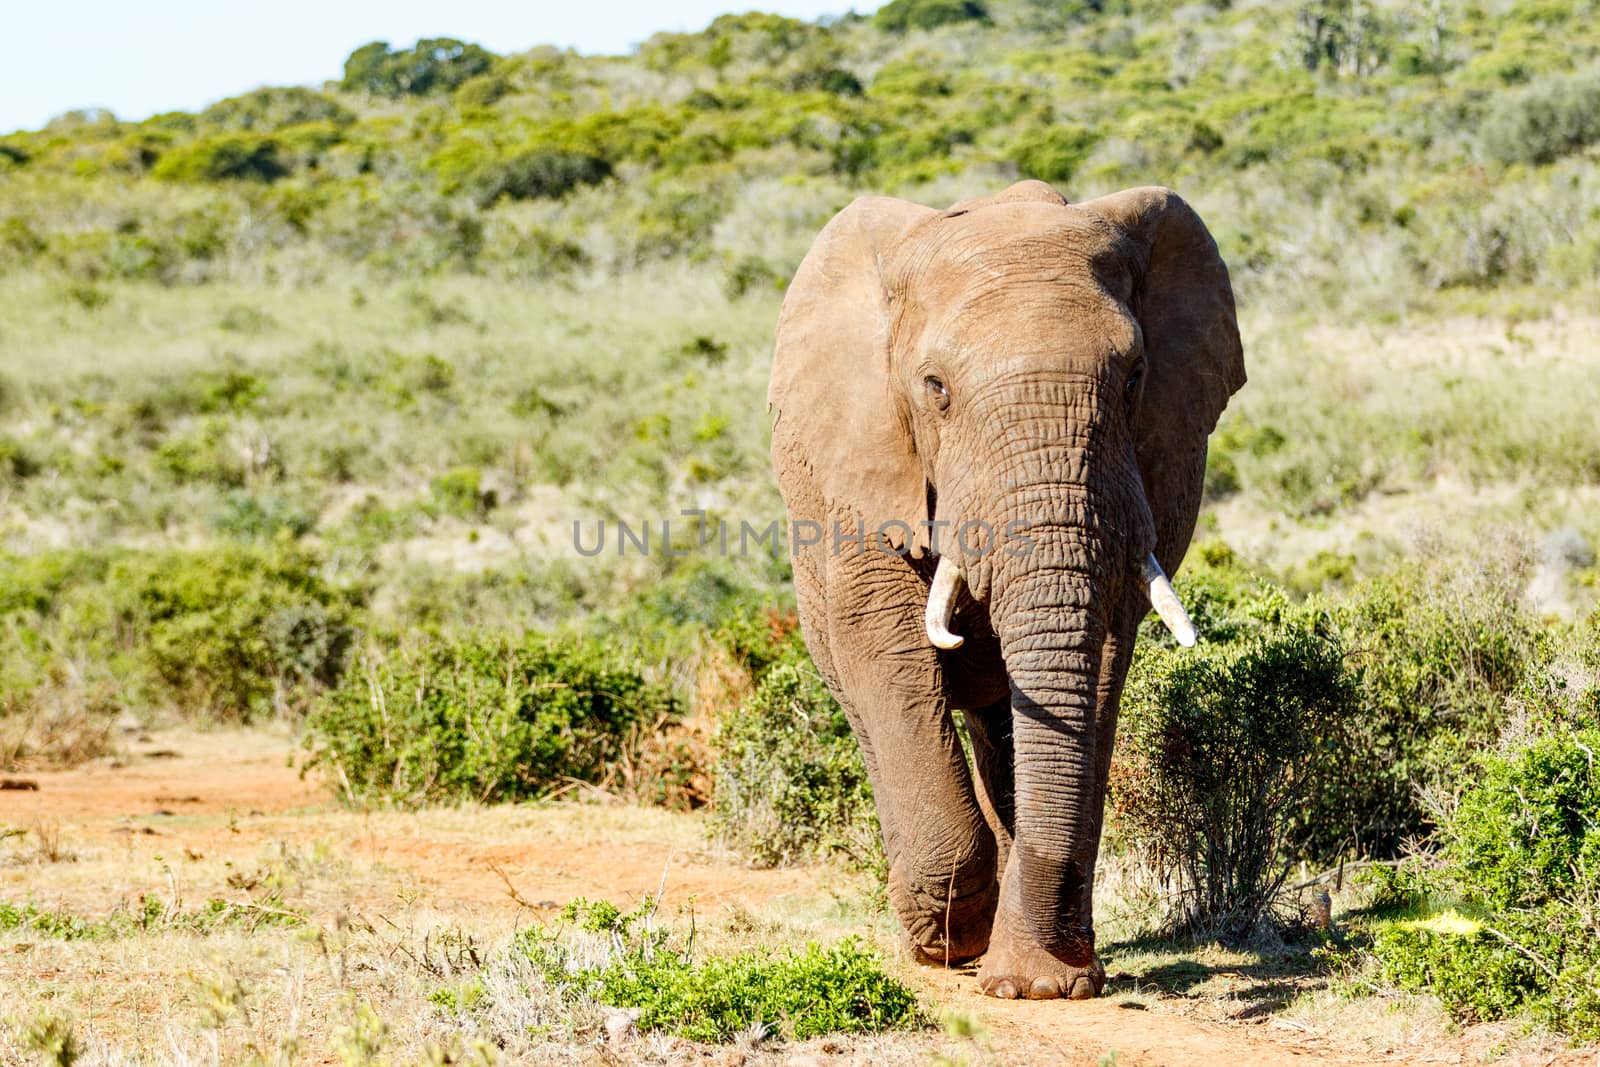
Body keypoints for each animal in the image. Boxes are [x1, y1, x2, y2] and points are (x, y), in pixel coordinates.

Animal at [768, 177, 1241, 1004]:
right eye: (936, 389)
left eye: (1135, 378)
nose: (1049, 977)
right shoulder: (862, 470)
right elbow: (883, 645)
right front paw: (951, 942)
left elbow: (1101, 660)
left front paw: (1042, 982)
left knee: (1001, 726)